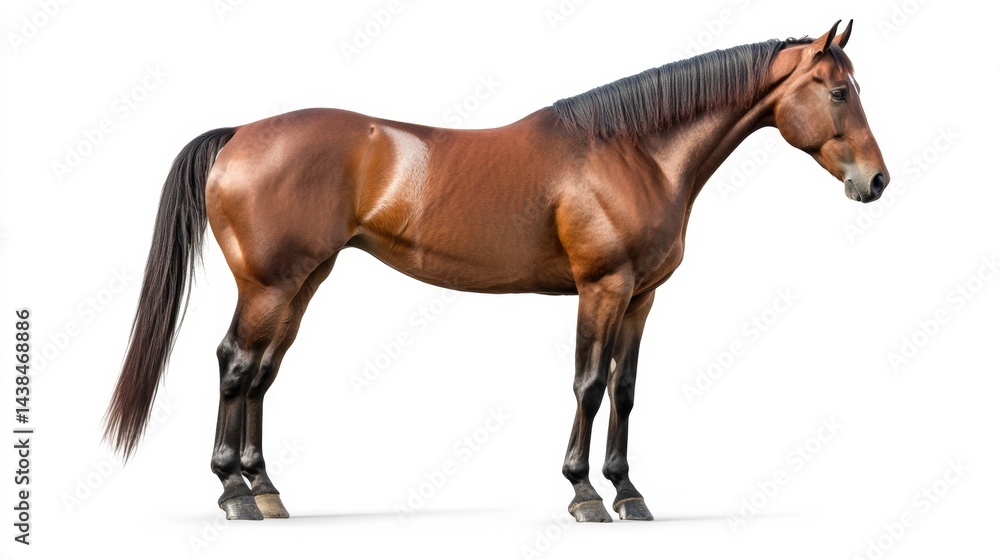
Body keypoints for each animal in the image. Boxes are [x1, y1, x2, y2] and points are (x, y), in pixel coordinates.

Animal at [104, 20, 888, 523]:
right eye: (838, 90)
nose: (876, 181)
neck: (633, 152)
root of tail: (239, 134)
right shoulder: (601, 287)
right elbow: (588, 384)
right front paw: (583, 494)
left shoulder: (641, 298)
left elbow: (626, 390)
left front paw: (629, 493)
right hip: (268, 285)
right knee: (236, 363)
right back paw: (233, 493)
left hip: (303, 283)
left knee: (262, 372)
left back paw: (264, 490)